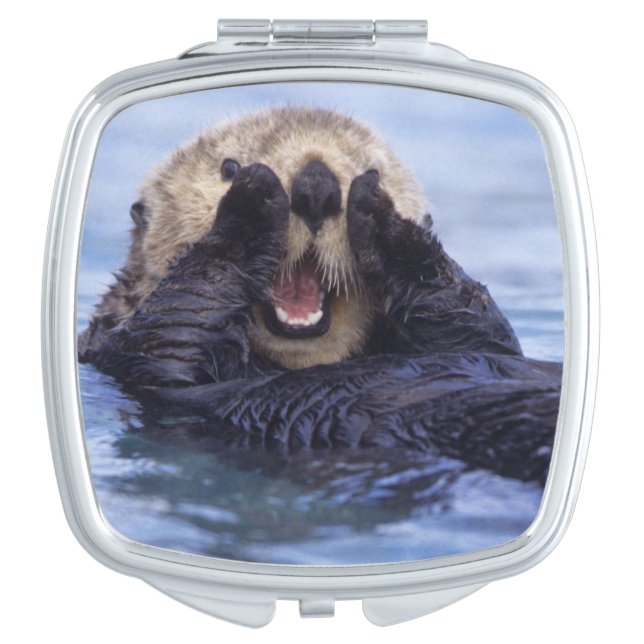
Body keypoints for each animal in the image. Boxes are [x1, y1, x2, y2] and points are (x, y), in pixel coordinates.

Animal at [79, 106, 561, 483]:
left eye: (373, 169)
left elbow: (477, 323)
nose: (316, 186)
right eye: (227, 168)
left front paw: (386, 220)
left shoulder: (479, 338)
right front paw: (253, 199)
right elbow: (179, 321)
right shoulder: (140, 357)